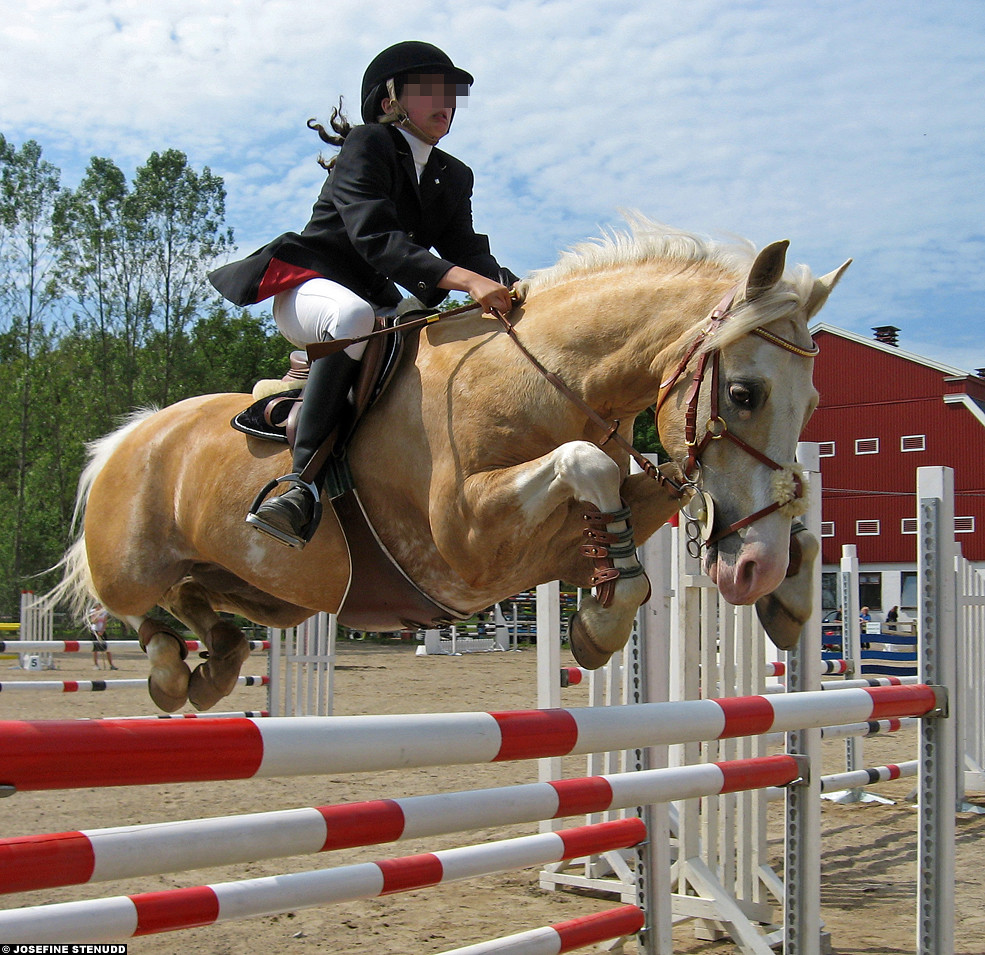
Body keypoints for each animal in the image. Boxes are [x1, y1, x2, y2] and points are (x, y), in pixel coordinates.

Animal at [51, 219, 849, 711]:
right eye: (743, 394)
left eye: (814, 403)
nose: (751, 567)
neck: (535, 377)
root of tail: (124, 438)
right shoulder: (466, 539)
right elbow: (587, 464)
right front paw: (607, 614)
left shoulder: (544, 548)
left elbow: (641, 497)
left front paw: (786, 591)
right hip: (133, 562)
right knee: (132, 602)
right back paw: (169, 670)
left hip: (275, 594)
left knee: (205, 599)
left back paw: (213, 662)